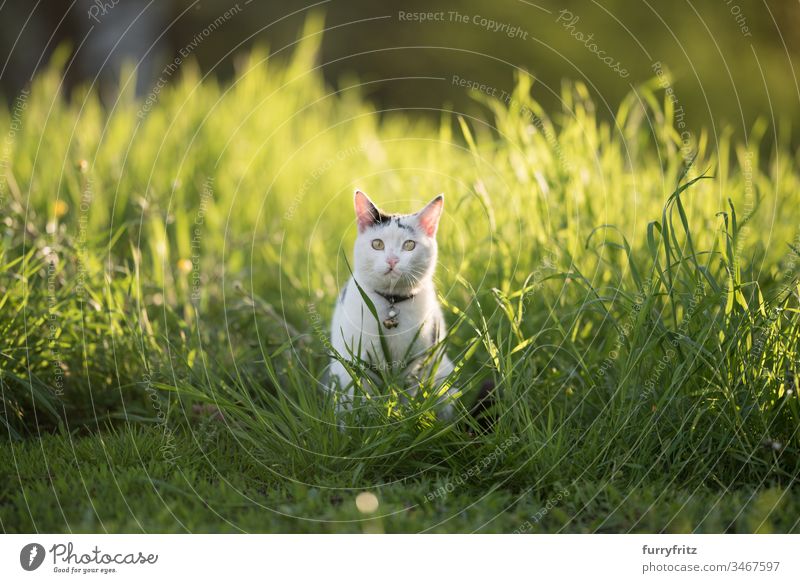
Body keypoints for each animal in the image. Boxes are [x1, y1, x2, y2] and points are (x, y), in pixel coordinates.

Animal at [328, 190, 460, 420]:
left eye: (409, 245)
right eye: (377, 244)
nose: (392, 260)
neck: (391, 302)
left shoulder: (415, 365)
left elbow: (406, 397)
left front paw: (402, 418)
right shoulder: (360, 361)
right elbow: (364, 398)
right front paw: (369, 422)